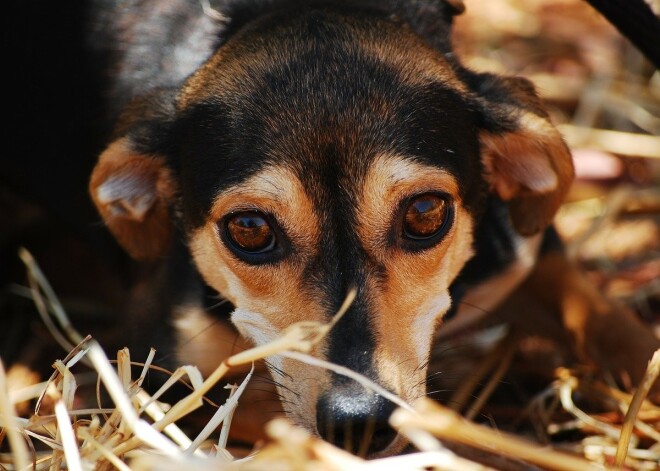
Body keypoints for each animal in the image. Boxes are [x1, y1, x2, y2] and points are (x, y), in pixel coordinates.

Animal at [84, 0, 660, 458]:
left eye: (425, 213)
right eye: (248, 228)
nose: (358, 422)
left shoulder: (530, 260)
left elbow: (625, 336)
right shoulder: (172, 382)